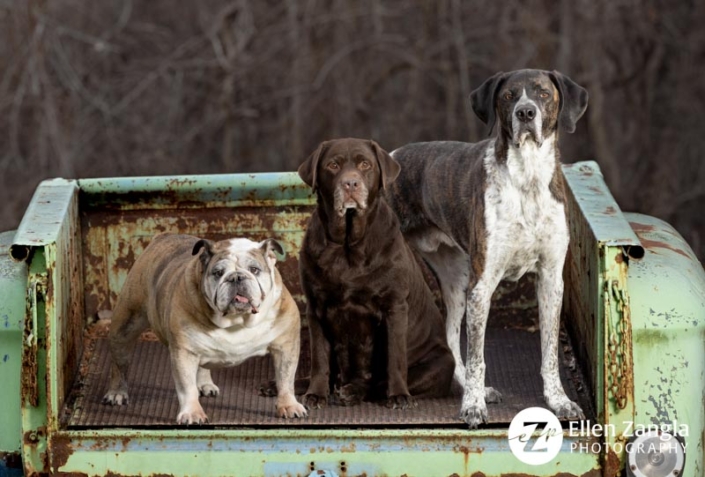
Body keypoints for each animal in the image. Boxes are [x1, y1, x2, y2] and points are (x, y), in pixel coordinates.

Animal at [384, 68, 588, 428]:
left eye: (543, 93)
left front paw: (559, 401)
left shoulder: (551, 280)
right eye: (508, 95)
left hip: (455, 279)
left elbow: (549, 352)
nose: (526, 113)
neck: (527, 178)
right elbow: (478, 356)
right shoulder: (483, 285)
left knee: (451, 338)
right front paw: (473, 407)